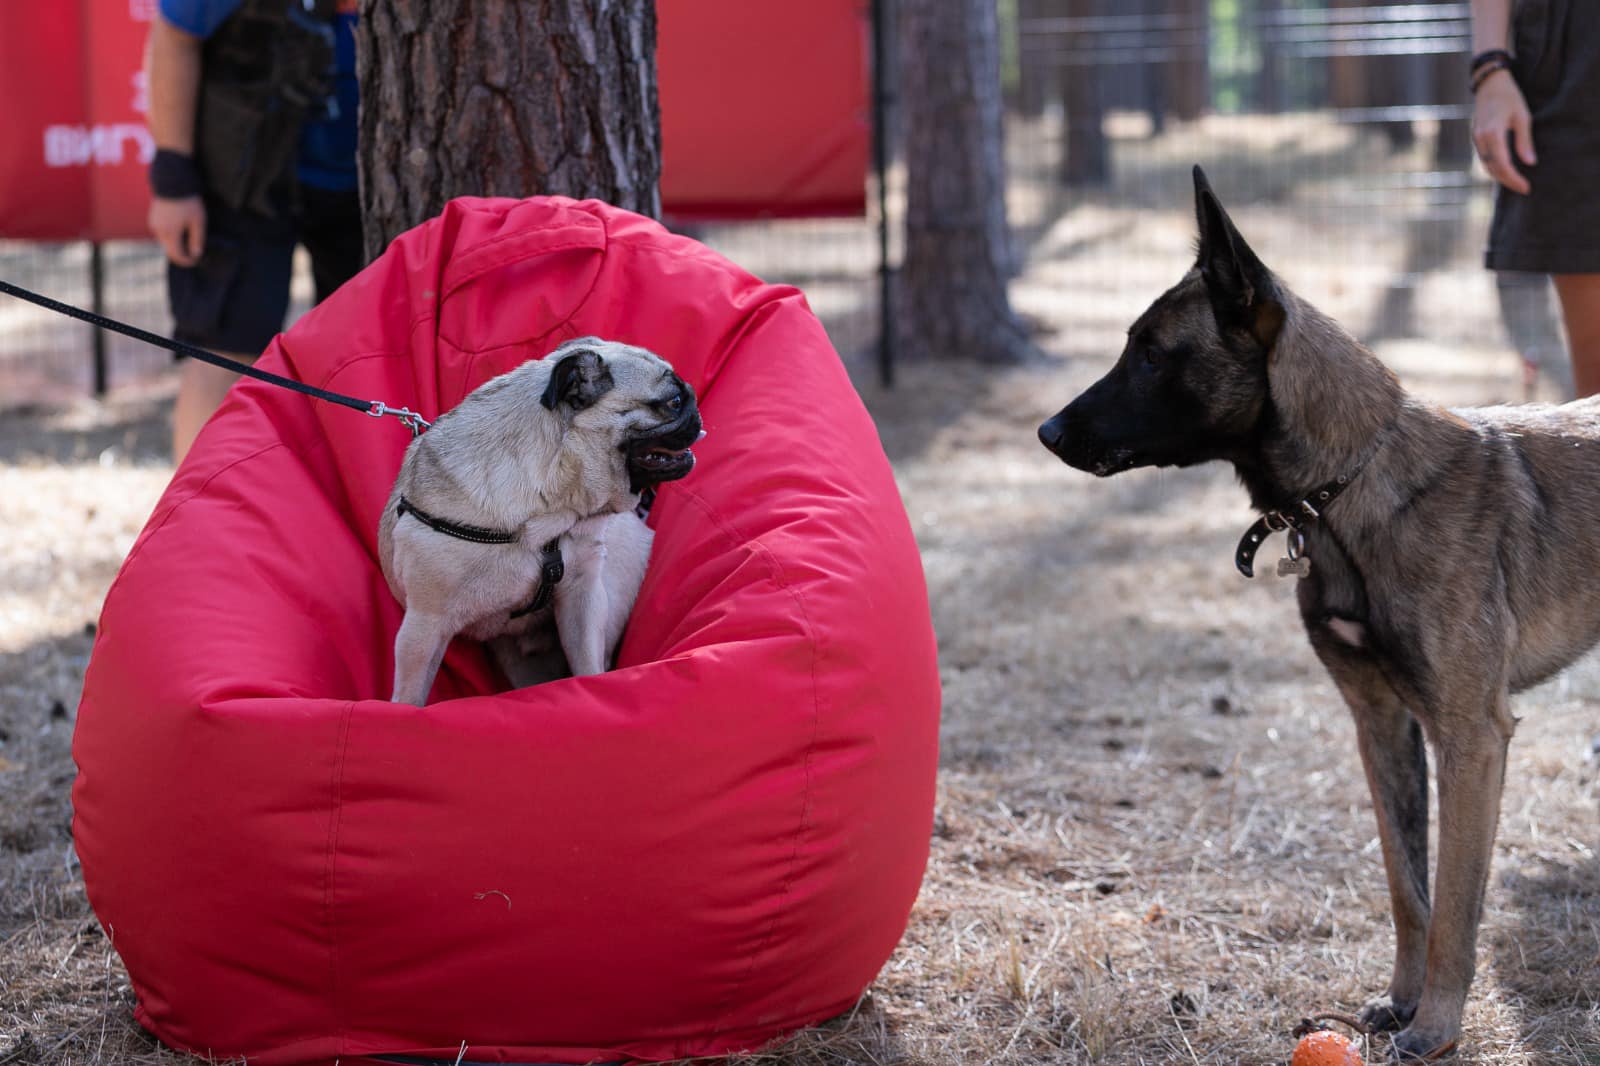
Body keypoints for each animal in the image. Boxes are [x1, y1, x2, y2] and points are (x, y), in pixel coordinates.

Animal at [377, 337, 704, 704]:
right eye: (674, 402)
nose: (695, 404)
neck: (549, 512)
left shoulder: (582, 596)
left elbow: (588, 665)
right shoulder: (424, 625)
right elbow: (410, 695)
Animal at [1036, 166, 1600, 1056]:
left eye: (1152, 354)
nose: (1048, 431)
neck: (1353, 481)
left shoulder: (1471, 738)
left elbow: (1455, 906)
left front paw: (1436, 1028)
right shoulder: (1381, 725)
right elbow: (1408, 888)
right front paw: (1401, 1001)